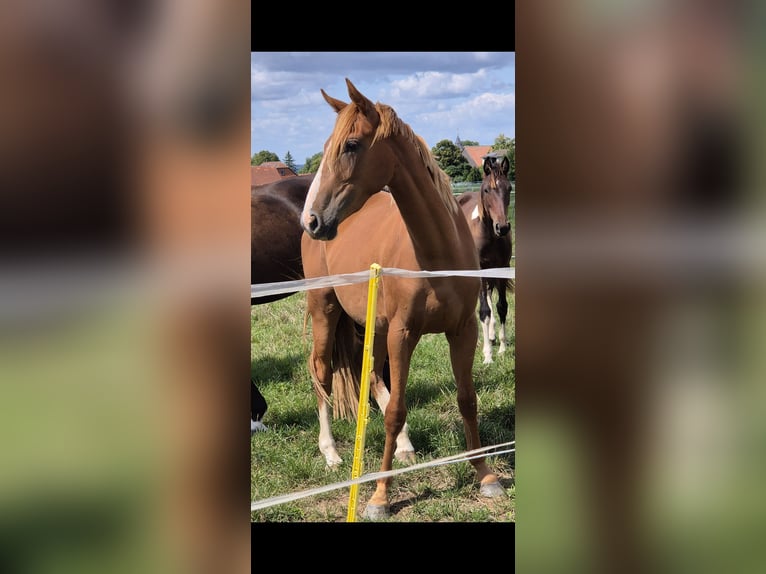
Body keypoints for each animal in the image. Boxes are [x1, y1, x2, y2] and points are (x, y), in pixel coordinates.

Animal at [302, 77, 510, 520]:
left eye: (351, 144)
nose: (313, 219)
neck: (435, 254)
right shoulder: (403, 334)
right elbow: (396, 410)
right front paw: (380, 496)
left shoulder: (463, 330)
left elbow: (467, 399)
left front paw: (485, 475)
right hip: (325, 311)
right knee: (322, 372)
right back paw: (331, 452)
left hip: (373, 326)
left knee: (372, 377)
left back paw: (405, 447)